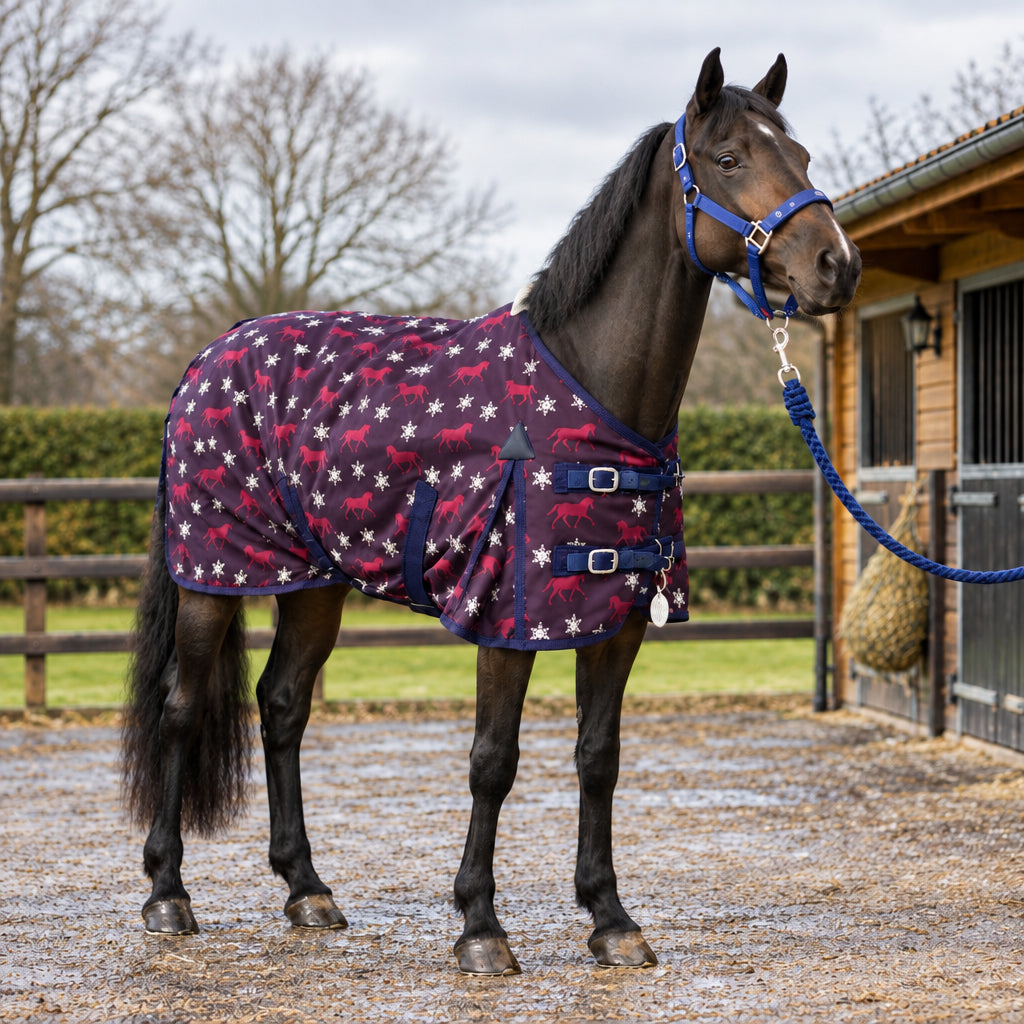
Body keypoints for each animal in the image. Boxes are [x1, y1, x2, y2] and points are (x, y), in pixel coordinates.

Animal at [122, 48, 860, 976]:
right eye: (729, 159)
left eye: (799, 157)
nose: (838, 265)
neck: (587, 397)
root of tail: (206, 361)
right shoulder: (507, 619)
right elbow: (492, 761)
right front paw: (480, 926)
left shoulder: (617, 619)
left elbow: (598, 758)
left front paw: (611, 918)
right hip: (212, 579)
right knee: (181, 708)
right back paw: (167, 893)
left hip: (315, 584)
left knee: (283, 705)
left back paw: (307, 890)